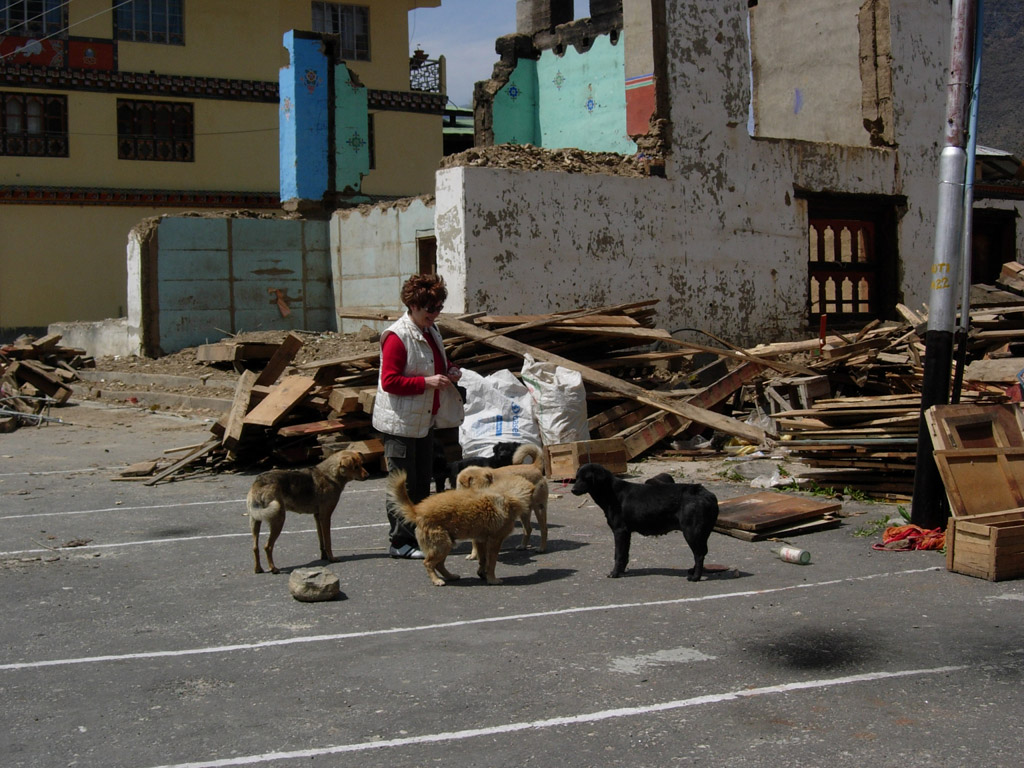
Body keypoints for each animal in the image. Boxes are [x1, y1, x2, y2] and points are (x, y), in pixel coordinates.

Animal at [385, 468, 536, 589]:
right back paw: (436, 580)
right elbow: (491, 563)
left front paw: (483, 574)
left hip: (447, 544)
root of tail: (418, 511)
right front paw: (492, 579)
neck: (507, 495)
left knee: (439, 564)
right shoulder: (494, 541)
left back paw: (451, 576)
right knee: (428, 563)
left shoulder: (480, 540)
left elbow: (483, 560)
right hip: (442, 545)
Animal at [573, 462, 716, 581]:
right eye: (577, 477)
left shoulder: (620, 531)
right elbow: (625, 555)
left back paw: (696, 577)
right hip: (702, 533)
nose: (572, 490)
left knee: (699, 554)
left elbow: (618, 555)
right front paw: (622, 571)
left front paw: (615, 573)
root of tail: (707, 494)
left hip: (691, 531)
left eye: (586, 478)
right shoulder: (626, 533)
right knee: (702, 552)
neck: (611, 493)